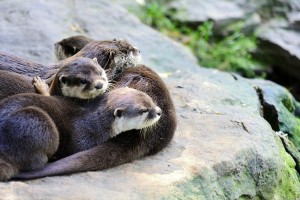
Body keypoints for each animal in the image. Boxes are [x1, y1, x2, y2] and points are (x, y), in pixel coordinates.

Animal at [0, 86, 162, 181]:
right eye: (144, 110)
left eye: (150, 100)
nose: (159, 111)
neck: (97, 122)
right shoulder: (84, 138)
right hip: (36, 121)